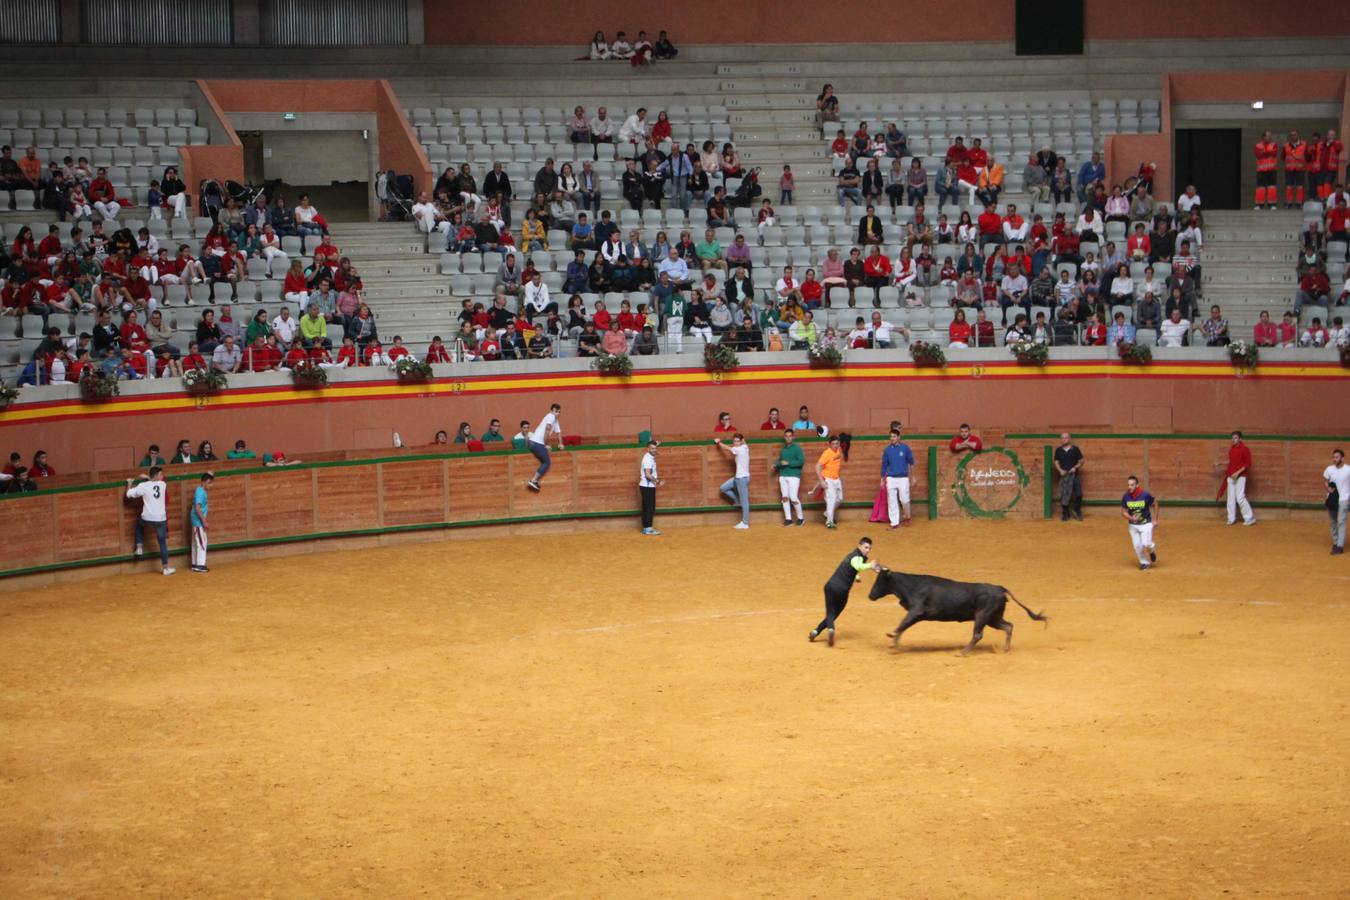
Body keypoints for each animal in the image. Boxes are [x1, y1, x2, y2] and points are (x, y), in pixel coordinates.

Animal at [869, 569, 1047, 655]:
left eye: (879, 581)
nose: (870, 595)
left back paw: (963, 652)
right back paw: (1005, 649)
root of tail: (999, 588)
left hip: (982, 616)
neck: (912, 585)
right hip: (993, 618)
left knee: (978, 634)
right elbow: (903, 627)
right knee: (1008, 626)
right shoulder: (915, 614)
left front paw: (892, 639)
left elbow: (902, 624)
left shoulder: (916, 611)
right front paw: (894, 644)